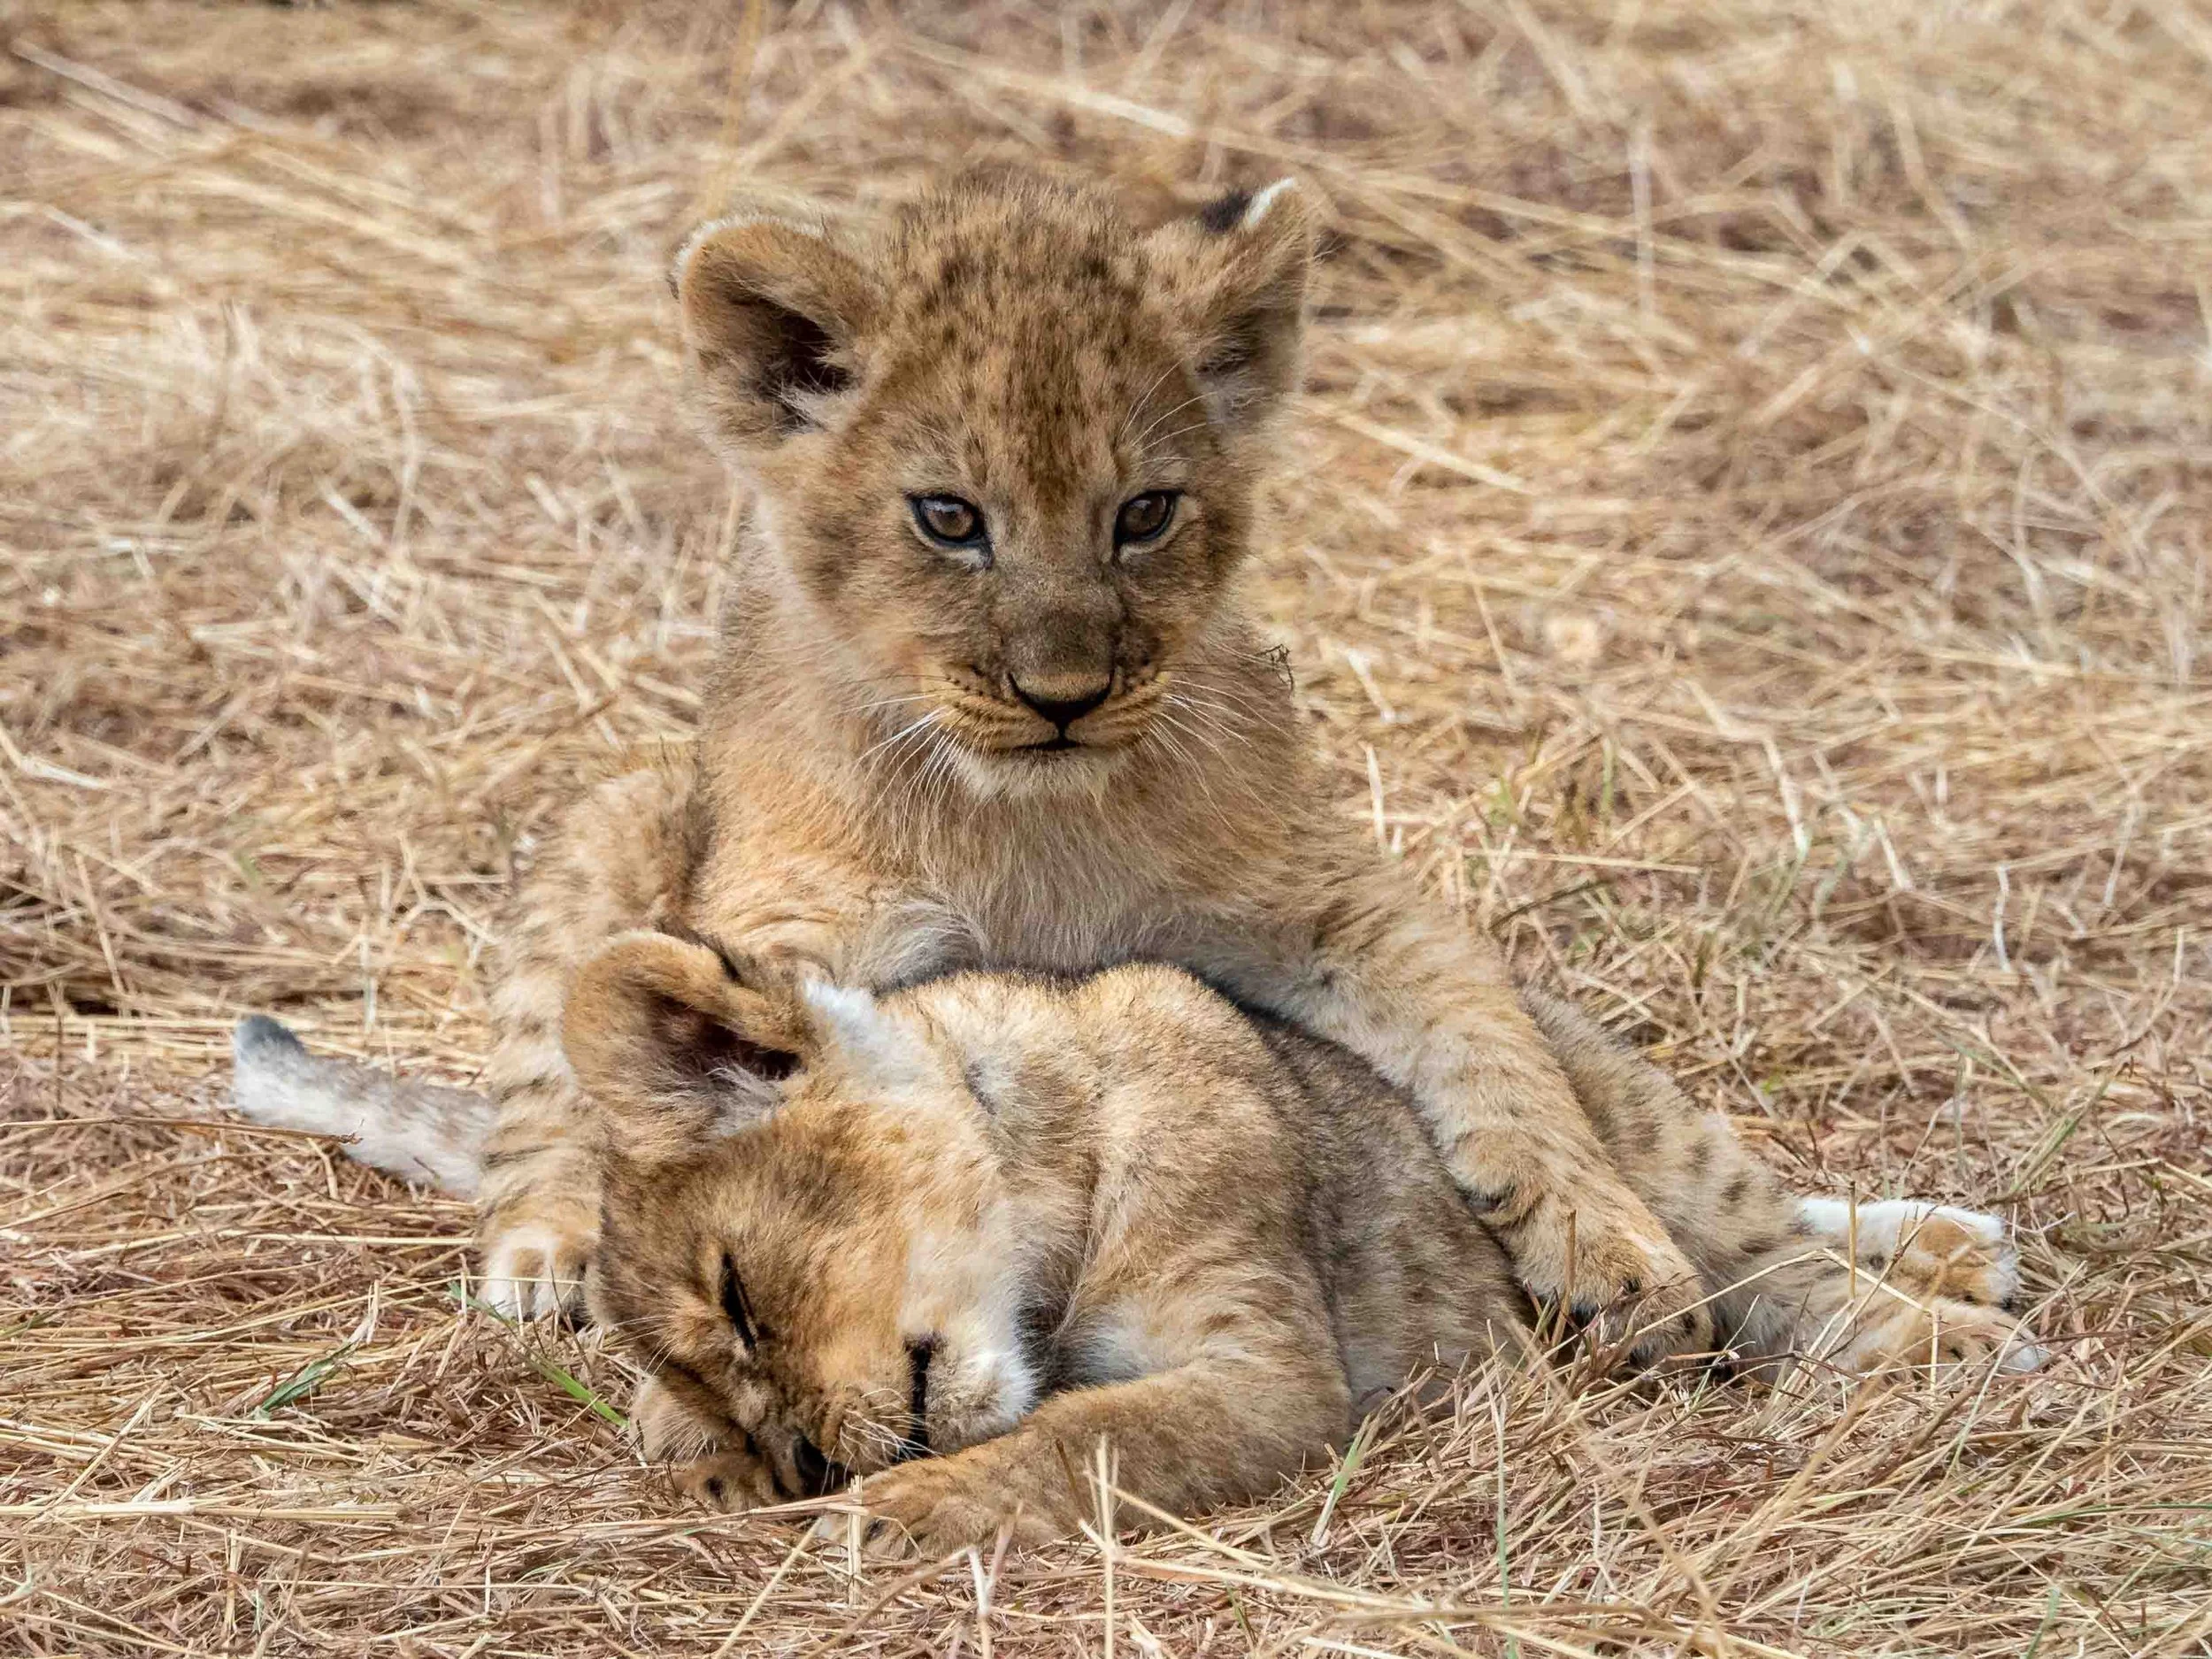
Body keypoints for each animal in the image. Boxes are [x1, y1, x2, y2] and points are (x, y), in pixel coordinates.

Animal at [233, 942, 2042, 1554]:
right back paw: (1969, 1251)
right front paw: (754, 1489)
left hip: (1633, 1138)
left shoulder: (1265, 1368)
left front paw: (878, 1522)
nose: (812, 1457)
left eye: (740, 1300)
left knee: (1758, 1257)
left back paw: (1960, 1320)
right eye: (733, 1401)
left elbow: (1074, 1443)